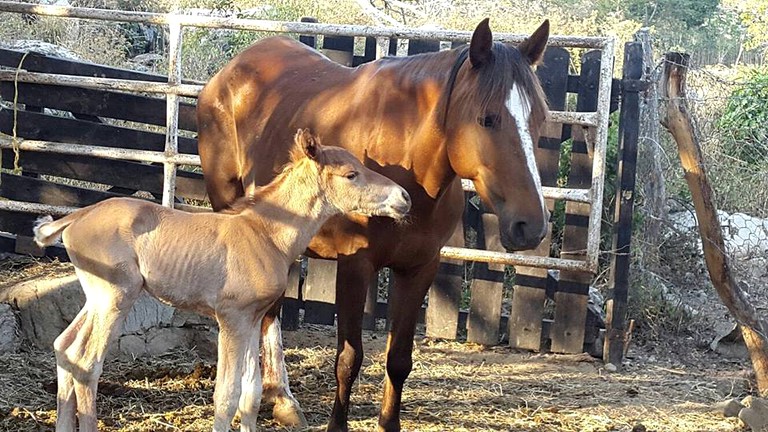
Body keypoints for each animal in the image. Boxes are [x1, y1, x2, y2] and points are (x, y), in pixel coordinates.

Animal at [33, 128, 412, 432]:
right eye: (351, 174)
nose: (405, 197)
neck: (267, 233)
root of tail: (76, 217)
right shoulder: (232, 317)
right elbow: (227, 395)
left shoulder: (254, 318)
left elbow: (251, 394)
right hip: (115, 297)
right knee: (86, 362)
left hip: (97, 298)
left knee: (65, 347)